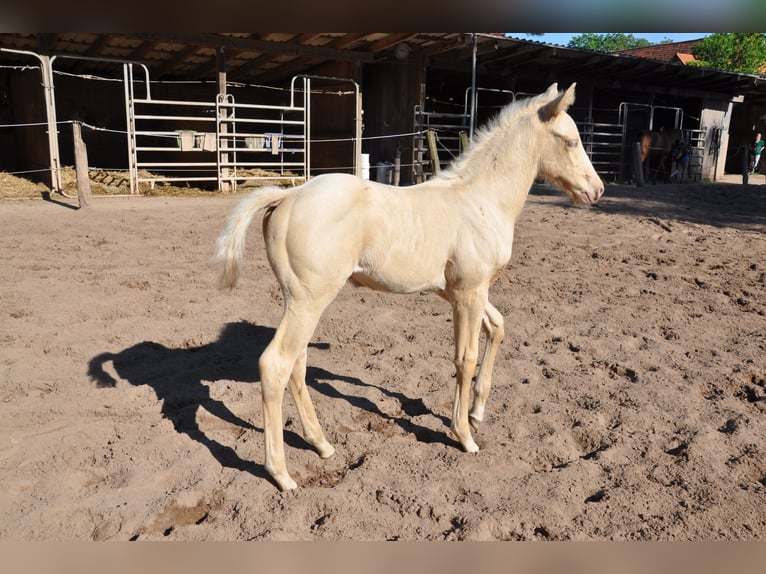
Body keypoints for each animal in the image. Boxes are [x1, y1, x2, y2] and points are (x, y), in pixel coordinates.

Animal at [212, 83, 608, 492]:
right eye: (571, 141)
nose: (597, 190)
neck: (480, 201)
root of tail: (286, 197)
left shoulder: (467, 291)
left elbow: (497, 328)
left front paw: (478, 411)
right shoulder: (468, 293)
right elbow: (464, 358)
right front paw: (464, 434)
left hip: (299, 301)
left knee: (297, 363)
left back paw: (321, 445)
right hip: (309, 300)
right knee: (276, 364)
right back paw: (281, 474)